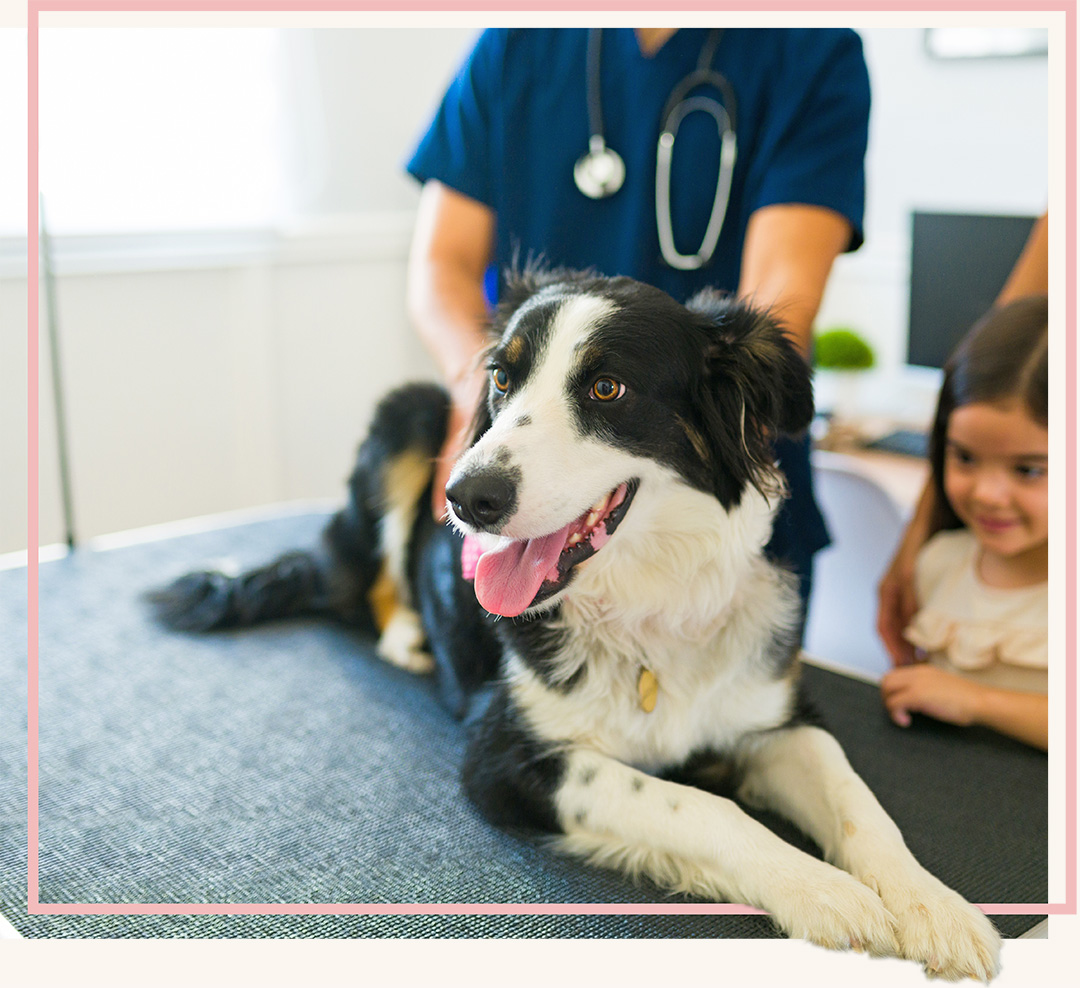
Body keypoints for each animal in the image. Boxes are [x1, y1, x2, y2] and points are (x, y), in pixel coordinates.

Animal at [152, 268, 1002, 980]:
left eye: (606, 387)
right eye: (502, 377)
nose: (466, 499)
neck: (644, 603)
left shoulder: (776, 716)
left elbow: (860, 803)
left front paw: (933, 905)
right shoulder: (504, 757)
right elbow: (701, 805)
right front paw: (824, 890)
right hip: (411, 413)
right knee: (362, 578)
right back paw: (408, 638)